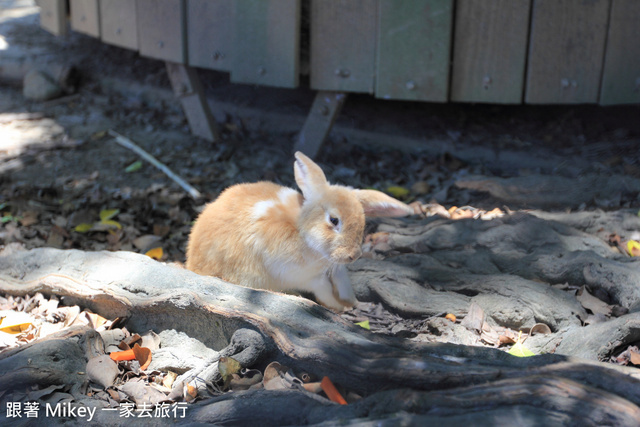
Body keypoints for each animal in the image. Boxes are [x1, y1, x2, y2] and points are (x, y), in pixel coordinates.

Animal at [185, 151, 416, 310]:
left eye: (362, 221)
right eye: (334, 220)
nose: (353, 256)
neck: (302, 232)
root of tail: (190, 264)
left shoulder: (336, 270)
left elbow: (343, 283)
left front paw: (353, 303)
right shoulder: (300, 275)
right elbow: (323, 289)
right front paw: (340, 308)